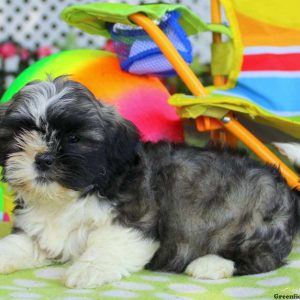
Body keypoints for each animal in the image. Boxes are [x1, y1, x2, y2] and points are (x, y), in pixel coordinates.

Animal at [0, 77, 298, 288]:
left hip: (255, 224)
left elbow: (109, 244)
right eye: (21, 133)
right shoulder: (39, 232)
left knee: (263, 258)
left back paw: (210, 265)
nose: (43, 158)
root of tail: (286, 186)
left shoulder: (135, 219)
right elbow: (20, 244)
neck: (66, 198)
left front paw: (88, 268)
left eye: (74, 139)